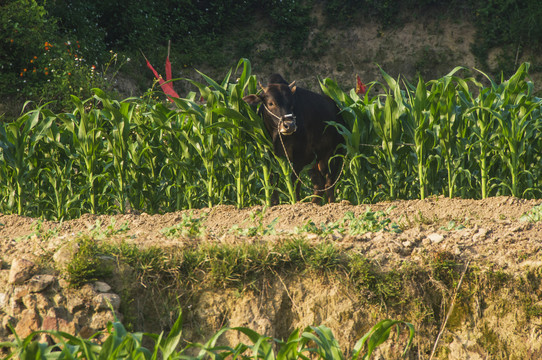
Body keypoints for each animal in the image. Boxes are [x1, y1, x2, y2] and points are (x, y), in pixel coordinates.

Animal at [244, 74, 346, 202]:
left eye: (292, 104)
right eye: (271, 103)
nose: (290, 125)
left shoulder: (301, 155)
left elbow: (294, 181)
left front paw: (295, 201)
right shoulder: (271, 155)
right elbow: (274, 180)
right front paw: (273, 203)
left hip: (333, 155)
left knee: (329, 183)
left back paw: (330, 203)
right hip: (315, 161)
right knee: (319, 185)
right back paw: (313, 204)